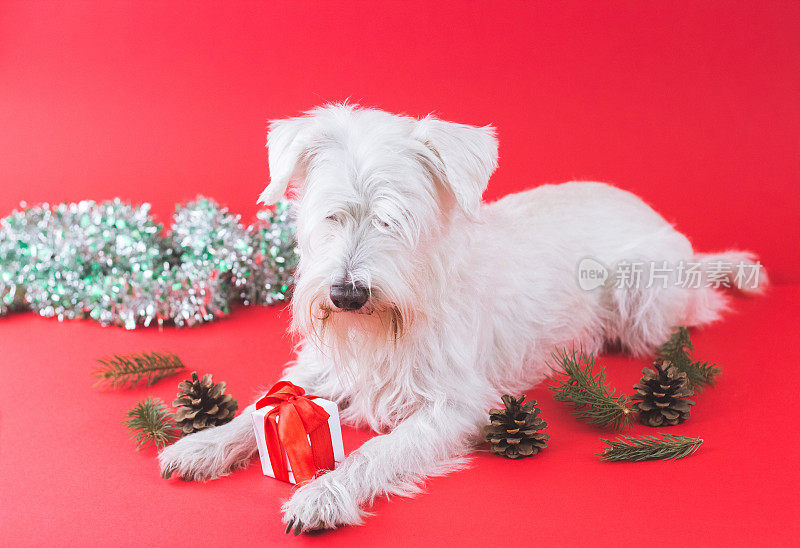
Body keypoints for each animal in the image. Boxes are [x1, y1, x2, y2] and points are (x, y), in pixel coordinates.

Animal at [159, 105, 764, 532]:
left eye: (395, 219)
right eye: (331, 215)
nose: (347, 294)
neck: (392, 321)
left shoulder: (454, 407)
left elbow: (379, 452)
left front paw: (325, 493)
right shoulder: (320, 372)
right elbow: (260, 407)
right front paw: (202, 444)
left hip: (646, 306)